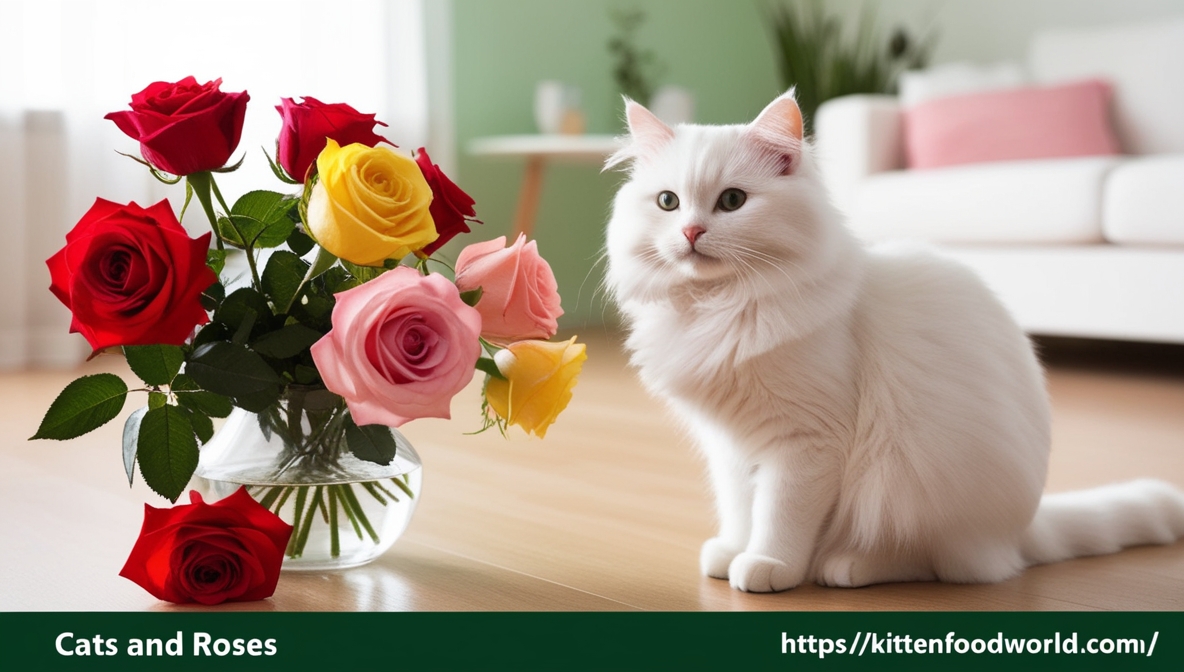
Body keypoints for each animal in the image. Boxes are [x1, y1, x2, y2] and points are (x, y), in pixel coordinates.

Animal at [606, 90, 1179, 593]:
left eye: (732, 201)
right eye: (668, 202)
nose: (691, 233)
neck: (717, 311)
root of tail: (1023, 529)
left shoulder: (806, 444)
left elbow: (780, 516)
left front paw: (771, 566)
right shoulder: (730, 446)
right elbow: (741, 509)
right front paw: (732, 551)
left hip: (916, 494)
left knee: (946, 566)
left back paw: (846, 565)